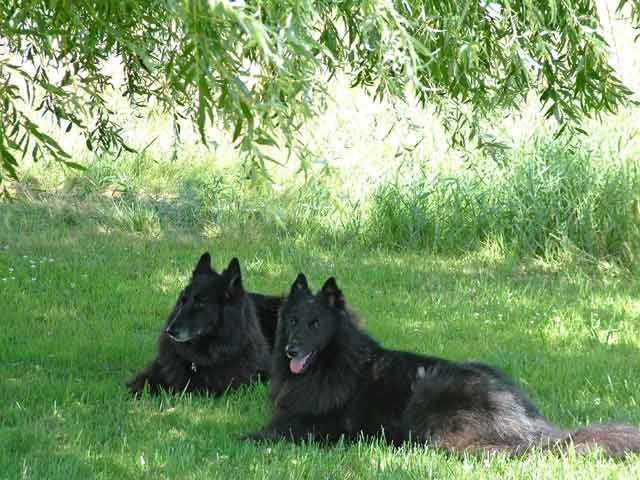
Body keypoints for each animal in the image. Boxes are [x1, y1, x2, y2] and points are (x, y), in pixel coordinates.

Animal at [248, 274, 640, 458]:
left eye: (316, 324)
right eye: (293, 321)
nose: (291, 350)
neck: (333, 362)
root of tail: (529, 422)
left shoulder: (325, 423)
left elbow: (273, 430)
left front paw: (248, 439)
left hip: (430, 393)